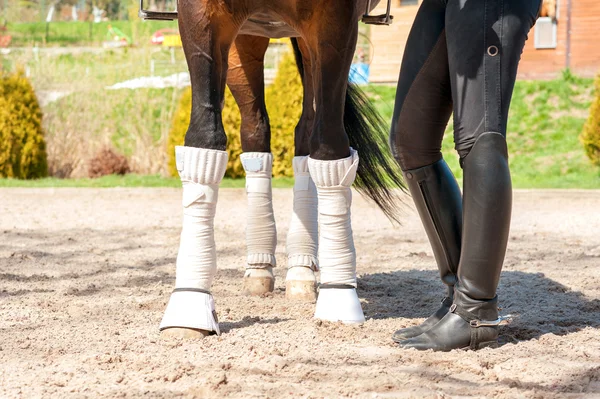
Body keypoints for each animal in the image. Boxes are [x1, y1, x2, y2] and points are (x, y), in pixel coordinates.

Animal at [155, 0, 406, 340]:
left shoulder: (335, 23)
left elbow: (328, 146)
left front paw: (339, 300)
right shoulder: (202, 16)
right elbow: (204, 137)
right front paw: (189, 306)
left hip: (307, 41)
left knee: (307, 134)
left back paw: (301, 270)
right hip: (245, 41)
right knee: (255, 130)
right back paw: (259, 266)